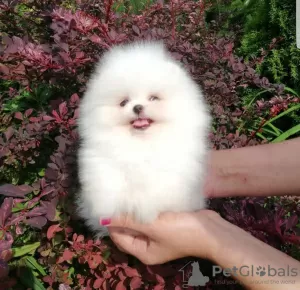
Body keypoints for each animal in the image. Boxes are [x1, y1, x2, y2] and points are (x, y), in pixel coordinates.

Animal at [76, 40, 211, 237]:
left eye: (154, 98)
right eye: (124, 102)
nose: (137, 107)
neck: (142, 142)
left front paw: (146, 211)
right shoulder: (102, 165)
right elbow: (111, 187)